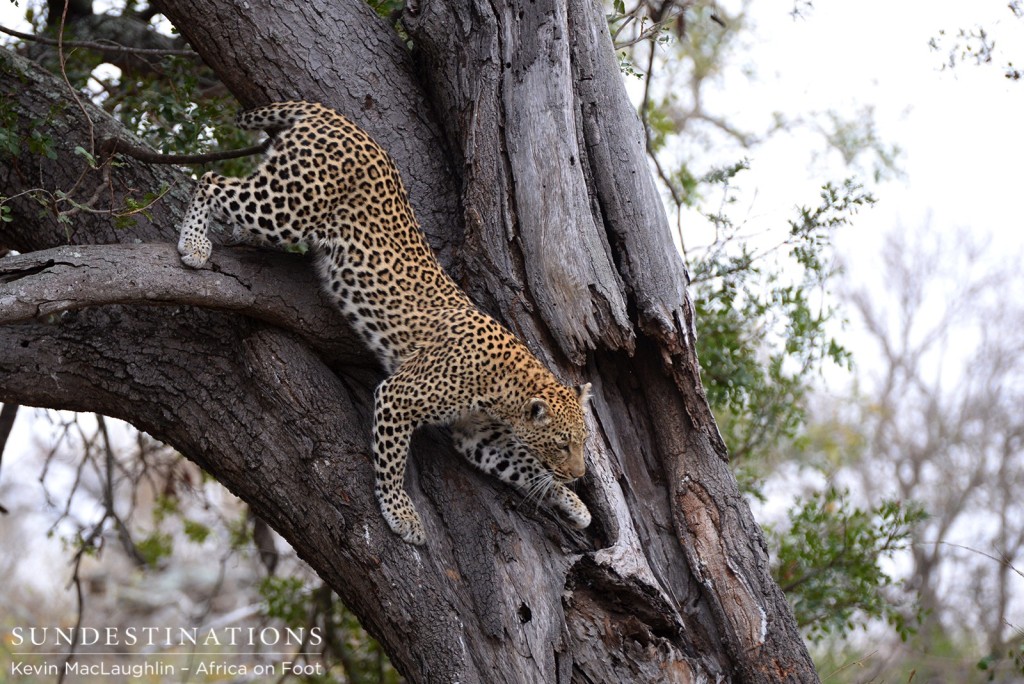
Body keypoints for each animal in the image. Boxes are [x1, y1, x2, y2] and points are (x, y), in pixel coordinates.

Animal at [176, 100, 593, 544]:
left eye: (583, 442)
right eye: (562, 444)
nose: (580, 474)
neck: (508, 390)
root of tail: (335, 117)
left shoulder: (476, 435)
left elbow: (524, 465)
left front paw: (571, 502)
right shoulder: (399, 396)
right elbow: (392, 461)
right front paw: (401, 513)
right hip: (288, 205)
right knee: (211, 181)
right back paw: (194, 244)